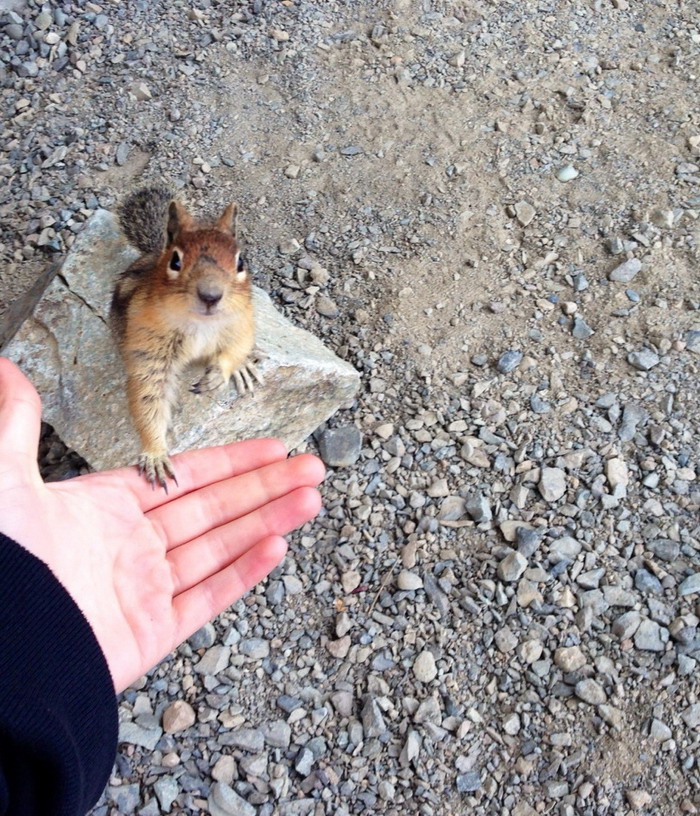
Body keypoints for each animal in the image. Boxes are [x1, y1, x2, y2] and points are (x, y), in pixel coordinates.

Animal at [112, 187, 260, 488]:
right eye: (176, 261)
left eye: (241, 261)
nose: (211, 295)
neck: (200, 325)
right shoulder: (149, 350)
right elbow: (148, 397)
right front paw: (155, 454)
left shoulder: (242, 322)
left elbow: (234, 349)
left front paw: (218, 375)